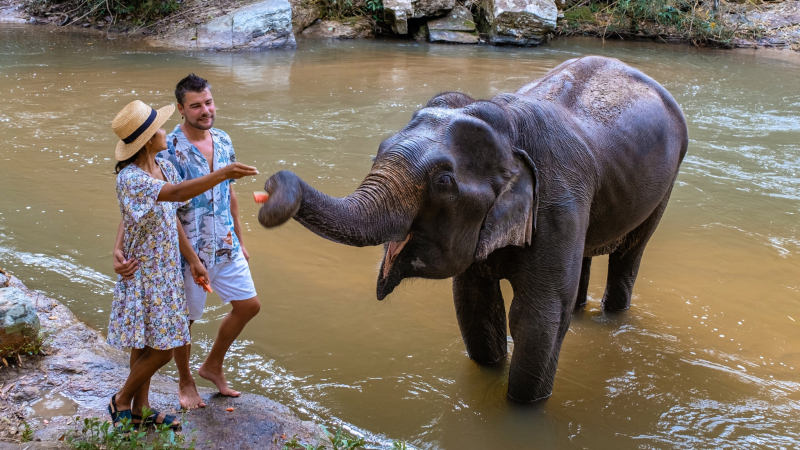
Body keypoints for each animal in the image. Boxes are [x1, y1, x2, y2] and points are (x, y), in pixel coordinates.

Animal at [257, 55, 688, 402]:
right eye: (379, 149)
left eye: (444, 180)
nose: (272, 186)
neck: (508, 123)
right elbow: (474, 303)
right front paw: (488, 373)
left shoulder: (558, 205)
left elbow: (539, 318)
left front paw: (521, 407)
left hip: (664, 188)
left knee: (629, 255)